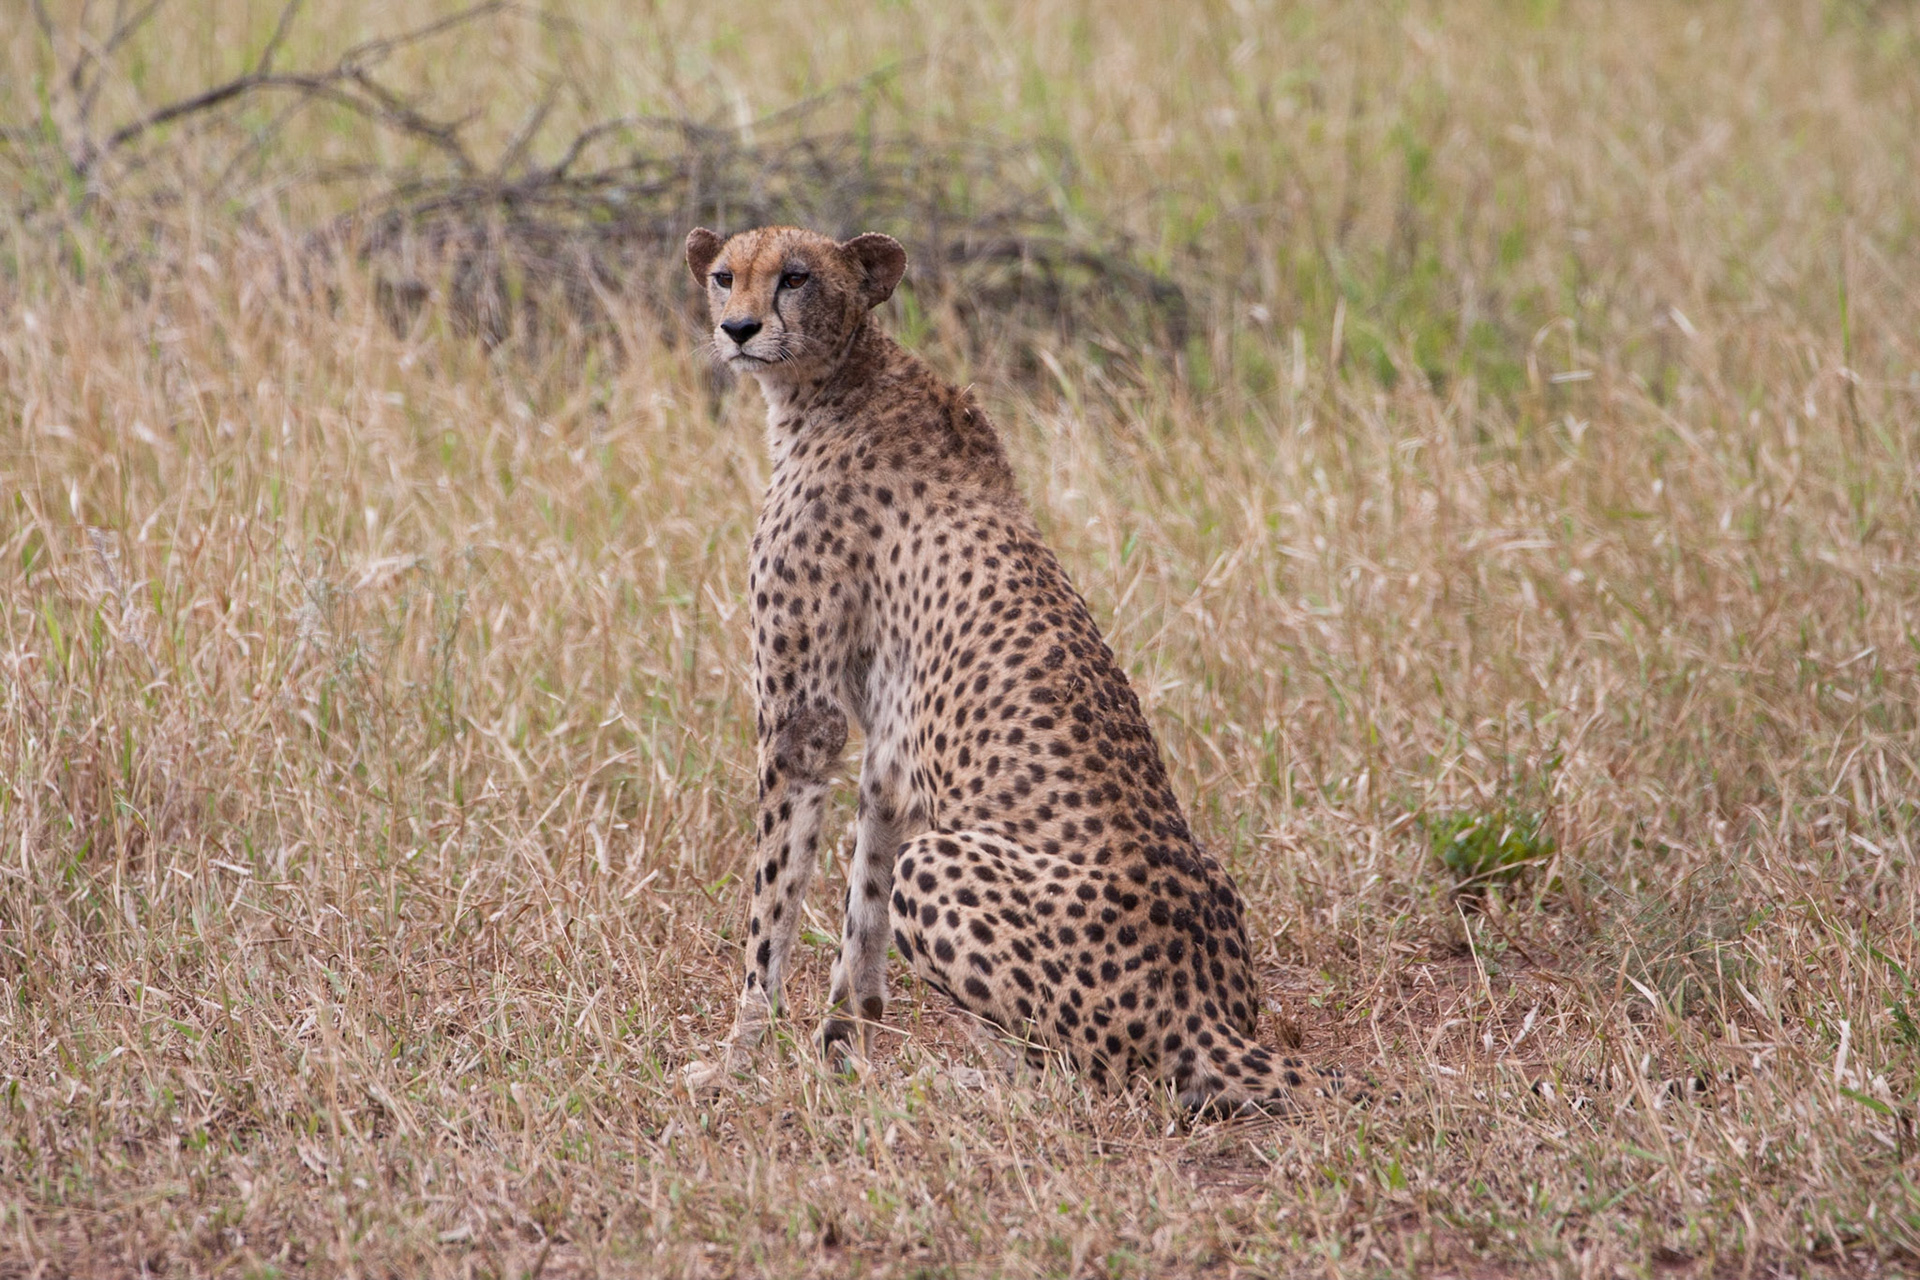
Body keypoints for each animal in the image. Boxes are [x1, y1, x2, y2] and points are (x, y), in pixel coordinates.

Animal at [677, 224, 1340, 1113]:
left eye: (796, 277)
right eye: (724, 276)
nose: (738, 329)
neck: (841, 380)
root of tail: (1211, 1014)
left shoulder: (800, 724)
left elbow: (773, 903)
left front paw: (739, 1055)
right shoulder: (889, 750)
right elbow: (862, 906)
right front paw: (841, 1048)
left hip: (947, 869)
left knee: (1092, 1079)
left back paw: (965, 1082)